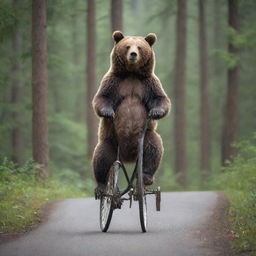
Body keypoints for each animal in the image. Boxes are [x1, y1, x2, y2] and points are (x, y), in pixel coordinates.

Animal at [91, 30, 170, 194]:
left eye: (139, 47)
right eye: (127, 46)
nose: (133, 54)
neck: (132, 73)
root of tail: (128, 157)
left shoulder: (148, 83)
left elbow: (161, 98)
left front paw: (156, 112)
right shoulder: (114, 82)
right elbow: (102, 97)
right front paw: (107, 111)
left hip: (143, 137)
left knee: (153, 147)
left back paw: (146, 177)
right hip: (112, 141)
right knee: (102, 156)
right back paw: (101, 186)